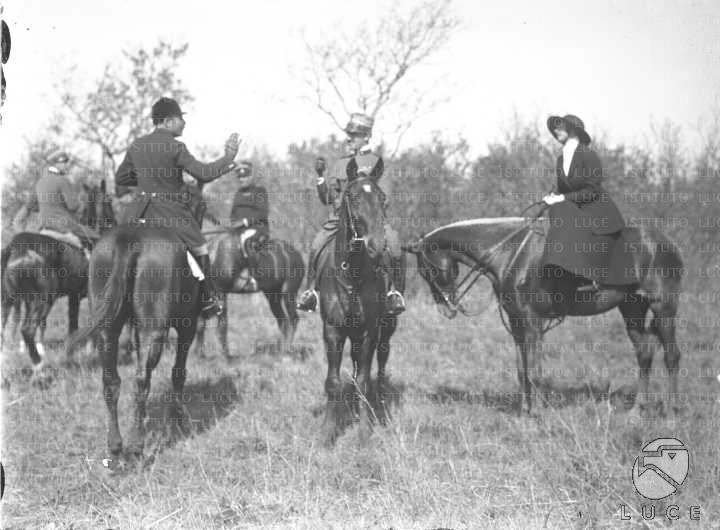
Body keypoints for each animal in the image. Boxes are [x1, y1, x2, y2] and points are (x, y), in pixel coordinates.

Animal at [1, 181, 115, 368]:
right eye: (108, 200)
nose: (114, 221)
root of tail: (14, 247)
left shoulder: (73, 296)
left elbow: (72, 325)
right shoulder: (85, 295)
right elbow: (84, 323)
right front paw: (88, 352)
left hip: (10, 299)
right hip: (43, 299)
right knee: (28, 329)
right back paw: (38, 364)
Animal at [317, 177, 405, 445]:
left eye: (383, 199)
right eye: (354, 199)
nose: (377, 246)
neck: (353, 276)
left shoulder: (370, 332)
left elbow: (364, 382)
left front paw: (364, 432)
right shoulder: (333, 331)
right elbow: (333, 381)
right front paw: (328, 433)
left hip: (386, 329)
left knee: (381, 360)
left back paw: (381, 399)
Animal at [404, 216, 684, 415]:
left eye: (427, 269)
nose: (446, 308)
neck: (509, 253)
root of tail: (666, 243)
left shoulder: (532, 324)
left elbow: (535, 371)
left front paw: (537, 413)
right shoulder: (517, 324)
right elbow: (522, 369)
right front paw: (524, 412)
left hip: (664, 309)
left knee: (672, 357)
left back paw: (671, 412)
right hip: (632, 309)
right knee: (644, 354)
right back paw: (637, 410)